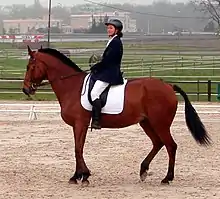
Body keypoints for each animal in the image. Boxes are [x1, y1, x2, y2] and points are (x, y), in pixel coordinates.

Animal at [22, 45, 211, 186]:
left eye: (30, 67)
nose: (25, 90)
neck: (71, 86)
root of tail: (169, 86)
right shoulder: (80, 124)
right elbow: (78, 148)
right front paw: (79, 175)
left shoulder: (80, 123)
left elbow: (77, 149)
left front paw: (82, 176)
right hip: (147, 123)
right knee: (158, 143)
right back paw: (143, 170)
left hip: (160, 123)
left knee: (171, 146)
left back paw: (167, 178)